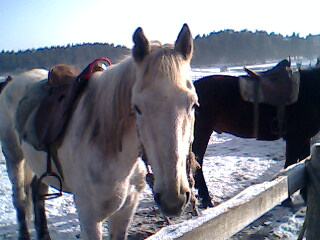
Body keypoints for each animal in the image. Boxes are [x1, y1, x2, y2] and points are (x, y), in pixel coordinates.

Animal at [0, 24, 198, 240]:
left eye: (193, 104)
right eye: (137, 107)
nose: (173, 199)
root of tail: (13, 81)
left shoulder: (126, 211)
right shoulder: (89, 216)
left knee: (37, 191)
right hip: (13, 156)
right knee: (19, 198)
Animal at [192, 59, 320, 206]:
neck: (309, 91)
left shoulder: (304, 138)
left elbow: (302, 162)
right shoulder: (296, 138)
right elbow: (290, 166)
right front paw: (287, 199)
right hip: (202, 132)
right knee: (197, 162)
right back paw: (206, 199)